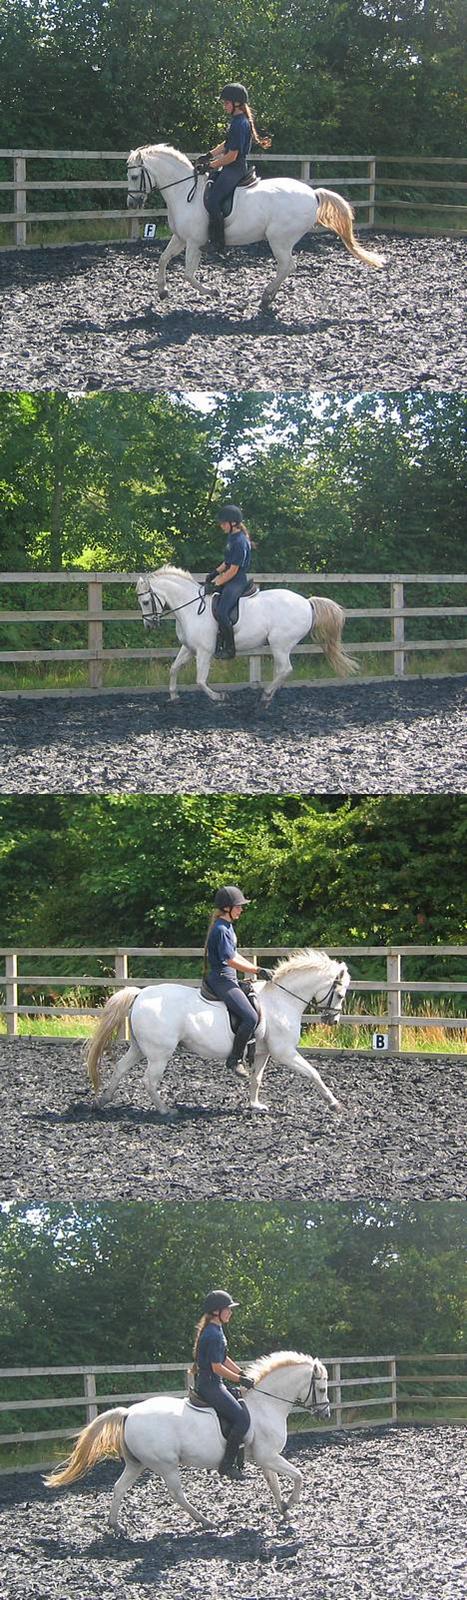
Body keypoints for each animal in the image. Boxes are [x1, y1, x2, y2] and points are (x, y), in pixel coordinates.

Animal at [47, 1356, 329, 1529]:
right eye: (323, 1389)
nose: (325, 1414)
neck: (266, 1404)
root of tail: (129, 1413)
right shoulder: (268, 1456)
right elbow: (298, 1475)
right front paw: (291, 1503)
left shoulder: (264, 1458)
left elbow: (274, 1484)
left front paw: (284, 1510)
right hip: (166, 1465)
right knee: (177, 1494)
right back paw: (206, 1521)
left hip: (136, 1464)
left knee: (118, 1488)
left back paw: (116, 1525)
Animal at [86, 947, 350, 1113]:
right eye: (339, 994)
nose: (332, 1021)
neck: (281, 1000)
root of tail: (140, 994)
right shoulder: (285, 1052)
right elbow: (313, 1073)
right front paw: (334, 1104)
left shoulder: (264, 1053)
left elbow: (256, 1078)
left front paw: (255, 1105)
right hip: (159, 1053)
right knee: (149, 1080)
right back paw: (165, 1110)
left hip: (140, 1048)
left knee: (120, 1068)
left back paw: (102, 1101)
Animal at [127, 144, 383, 308]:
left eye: (133, 177)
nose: (131, 203)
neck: (184, 193)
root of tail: (313, 194)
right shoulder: (180, 238)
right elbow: (163, 259)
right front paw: (162, 291)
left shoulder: (194, 242)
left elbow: (189, 275)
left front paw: (213, 291)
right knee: (287, 267)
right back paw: (268, 296)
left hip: (279, 240)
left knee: (288, 266)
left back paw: (267, 295)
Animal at [135, 572, 358, 704]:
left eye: (145, 602)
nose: (149, 625)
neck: (192, 608)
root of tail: (307, 602)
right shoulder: (189, 648)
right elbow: (174, 669)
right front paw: (174, 695)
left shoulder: (204, 652)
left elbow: (200, 680)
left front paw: (219, 696)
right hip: (279, 647)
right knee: (281, 670)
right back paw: (269, 694)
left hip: (280, 644)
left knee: (285, 669)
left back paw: (266, 695)